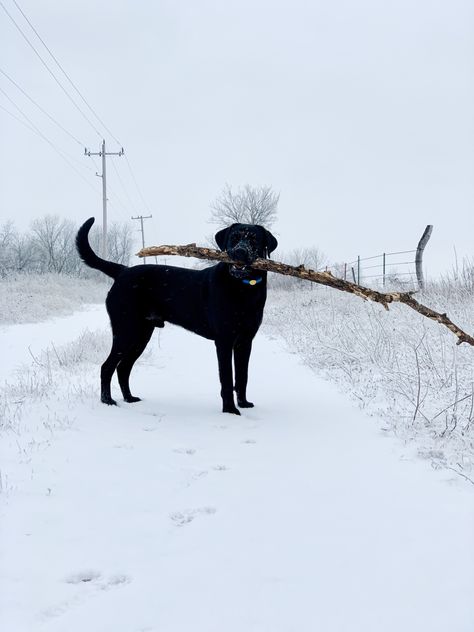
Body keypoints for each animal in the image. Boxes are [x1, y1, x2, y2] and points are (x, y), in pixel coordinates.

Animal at [75, 217, 278, 414]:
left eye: (254, 240)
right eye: (233, 238)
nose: (239, 252)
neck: (244, 289)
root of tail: (123, 271)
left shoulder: (245, 341)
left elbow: (242, 376)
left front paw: (243, 403)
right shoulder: (224, 340)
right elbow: (227, 378)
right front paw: (230, 410)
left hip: (141, 335)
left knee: (123, 367)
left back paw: (129, 398)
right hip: (126, 330)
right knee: (107, 366)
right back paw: (107, 401)